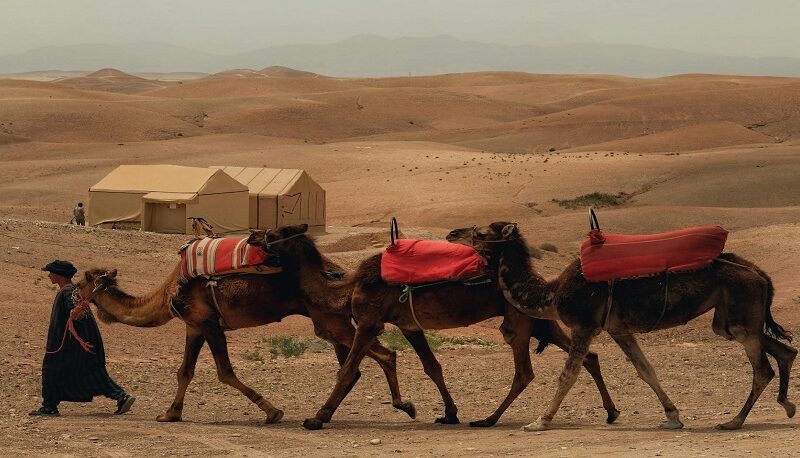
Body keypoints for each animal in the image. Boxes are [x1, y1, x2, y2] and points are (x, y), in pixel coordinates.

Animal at [73, 249, 418, 424]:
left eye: (79, 283)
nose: (71, 296)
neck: (169, 292)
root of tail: (342, 272)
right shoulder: (194, 325)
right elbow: (184, 371)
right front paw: (170, 413)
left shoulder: (208, 323)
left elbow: (225, 372)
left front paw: (273, 411)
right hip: (329, 320)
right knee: (358, 364)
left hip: (328, 319)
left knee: (382, 355)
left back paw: (399, 405)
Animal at [247, 224, 620, 432]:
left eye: (272, 233)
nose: (251, 238)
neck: (346, 287)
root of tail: (537, 277)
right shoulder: (409, 325)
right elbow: (432, 366)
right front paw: (447, 413)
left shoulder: (369, 321)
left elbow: (348, 369)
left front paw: (317, 418)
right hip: (540, 322)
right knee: (588, 356)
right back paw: (612, 412)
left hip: (519, 321)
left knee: (525, 372)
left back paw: (489, 419)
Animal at [466, 224, 796, 432]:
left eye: (480, 233)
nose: (455, 233)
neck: (552, 293)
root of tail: (758, 271)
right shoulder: (619, 329)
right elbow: (645, 370)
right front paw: (673, 418)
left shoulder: (584, 325)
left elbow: (567, 375)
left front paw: (539, 422)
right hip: (728, 319)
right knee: (785, 351)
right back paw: (787, 406)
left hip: (741, 313)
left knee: (762, 369)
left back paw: (734, 422)